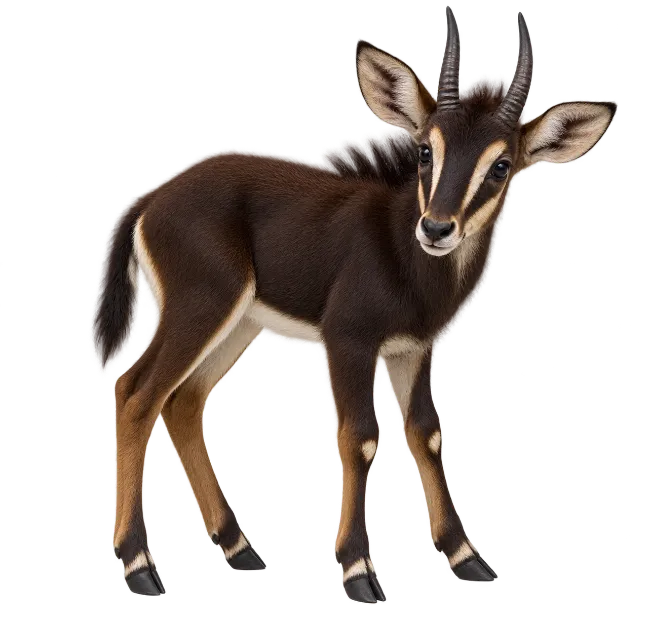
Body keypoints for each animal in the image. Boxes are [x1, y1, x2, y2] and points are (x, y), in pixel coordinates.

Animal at [90, 6, 617, 603]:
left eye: (502, 165)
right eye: (426, 150)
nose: (436, 229)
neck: (405, 256)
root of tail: (149, 200)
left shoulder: (412, 352)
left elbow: (426, 433)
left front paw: (465, 558)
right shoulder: (348, 343)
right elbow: (359, 436)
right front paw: (358, 571)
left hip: (235, 326)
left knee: (183, 402)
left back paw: (239, 549)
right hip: (199, 311)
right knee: (137, 395)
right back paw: (139, 566)